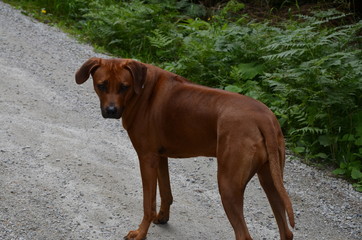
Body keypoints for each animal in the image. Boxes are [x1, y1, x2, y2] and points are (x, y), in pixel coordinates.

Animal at [75, 57, 294, 239]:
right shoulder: (160, 156)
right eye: (102, 85)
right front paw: (162, 217)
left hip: (228, 185)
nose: (111, 111)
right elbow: (166, 193)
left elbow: (148, 204)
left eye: (123, 87)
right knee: (286, 230)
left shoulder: (146, 158)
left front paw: (140, 233)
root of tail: (265, 118)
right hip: (271, 180)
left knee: (244, 235)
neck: (141, 90)